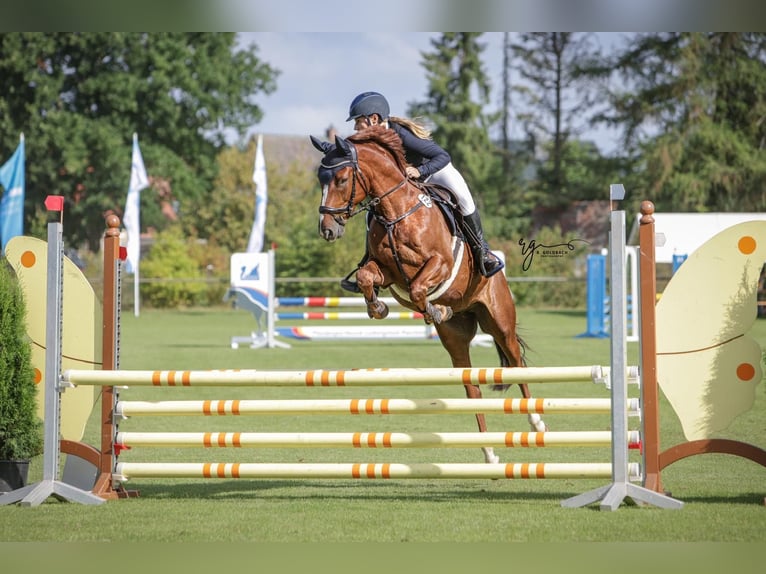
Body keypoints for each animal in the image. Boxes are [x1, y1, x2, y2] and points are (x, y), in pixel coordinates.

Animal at [310, 125, 546, 464]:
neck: (395, 212)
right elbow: (370, 277)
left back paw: (536, 422)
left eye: (341, 179)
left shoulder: (441, 263)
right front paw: (379, 308)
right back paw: (488, 452)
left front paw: (434, 310)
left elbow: (420, 286)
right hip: (456, 340)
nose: (327, 229)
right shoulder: (386, 271)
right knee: (472, 389)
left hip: (500, 322)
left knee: (517, 363)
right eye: (320, 179)